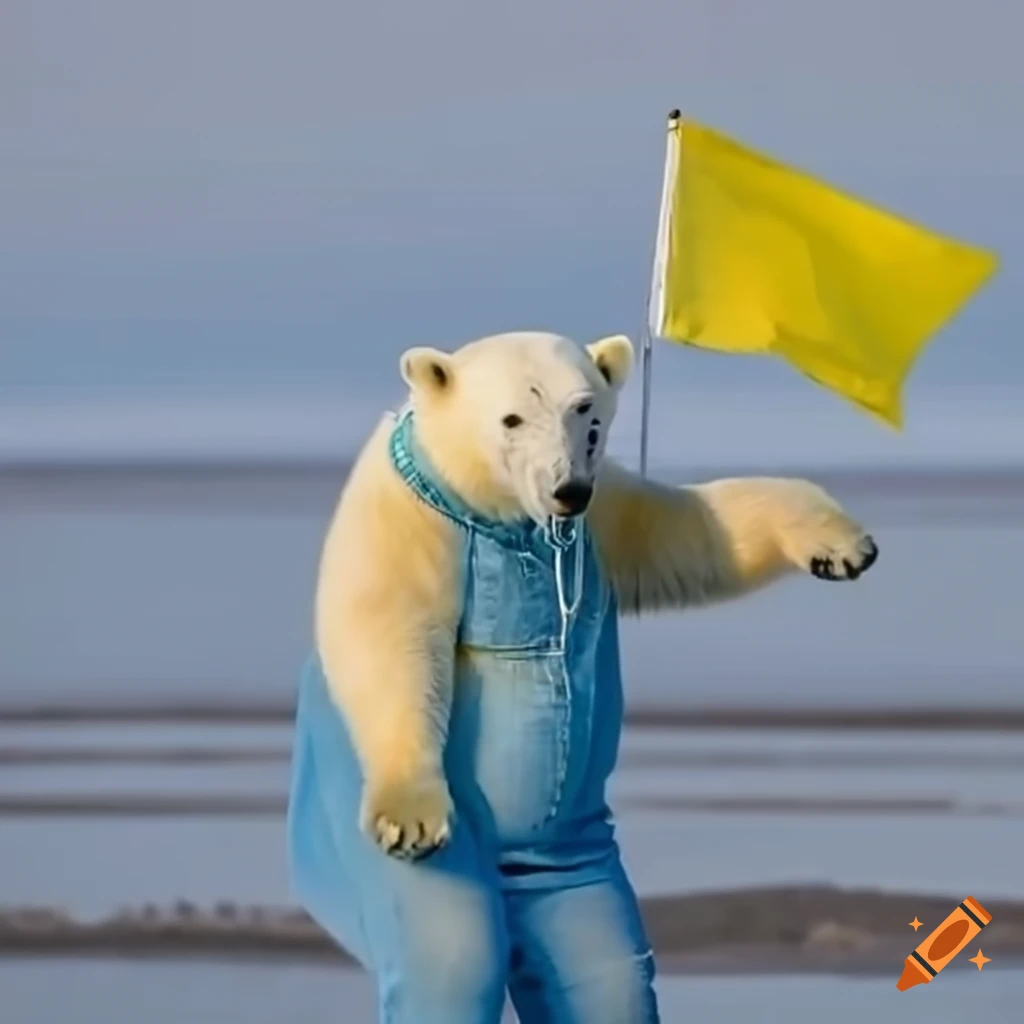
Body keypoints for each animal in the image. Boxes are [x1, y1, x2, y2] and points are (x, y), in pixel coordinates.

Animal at [287, 330, 878, 1024]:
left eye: (587, 414)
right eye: (513, 417)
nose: (566, 488)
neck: (495, 513)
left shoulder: (604, 514)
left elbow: (696, 530)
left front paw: (843, 545)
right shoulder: (406, 519)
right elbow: (390, 637)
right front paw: (410, 819)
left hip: (574, 858)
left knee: (598, 967)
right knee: (450, 948)